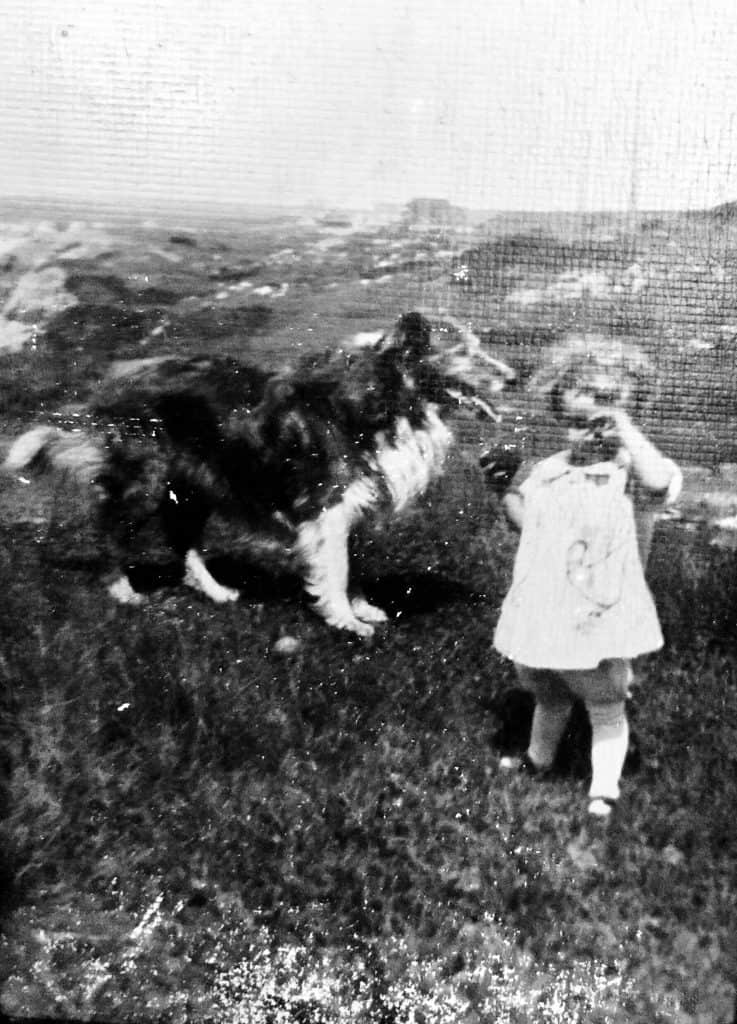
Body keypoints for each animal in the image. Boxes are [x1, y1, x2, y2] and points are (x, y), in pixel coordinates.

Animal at [5, 309, 515, 630]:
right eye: (463, 351)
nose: (515, 377)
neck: (386, 398)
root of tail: (117, 378)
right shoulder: (327, 506)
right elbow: (337, 568)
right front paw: (345, 621)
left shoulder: (355, 505)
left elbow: (354, 566)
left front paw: (362, 609)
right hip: (145, 483)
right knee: (110, 533)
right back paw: (124, 592)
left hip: (192, 488)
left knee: (185, 545)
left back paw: (217, 592)